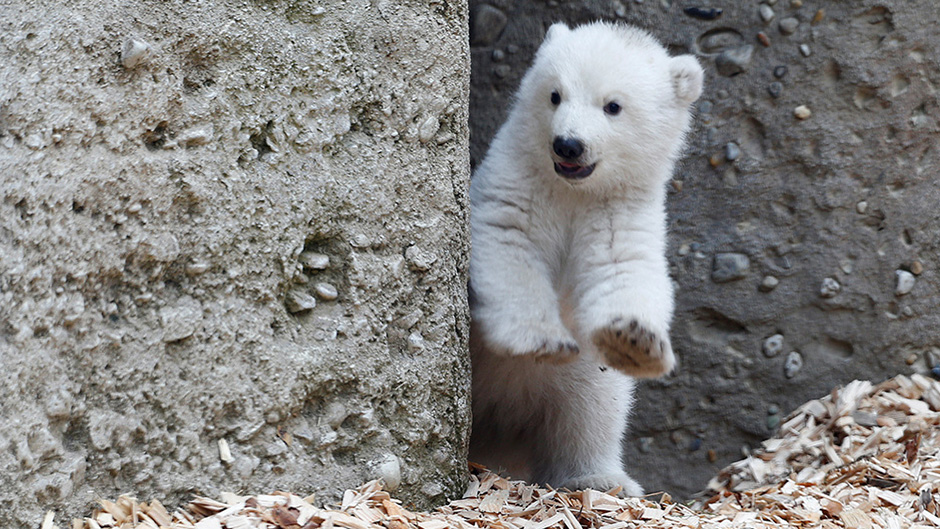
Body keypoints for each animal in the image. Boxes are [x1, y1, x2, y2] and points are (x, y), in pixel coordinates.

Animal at [468, 21, 703, 495]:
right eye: (555, 95)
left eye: (613, 105)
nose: (568, 145)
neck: (571, 191)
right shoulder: (514, 185)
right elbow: (509, 245)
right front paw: (540, 339)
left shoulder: (618, 208)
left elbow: (624, 270)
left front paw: (636, 340)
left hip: (580, 379)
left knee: (590, 411)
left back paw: (600, 479)